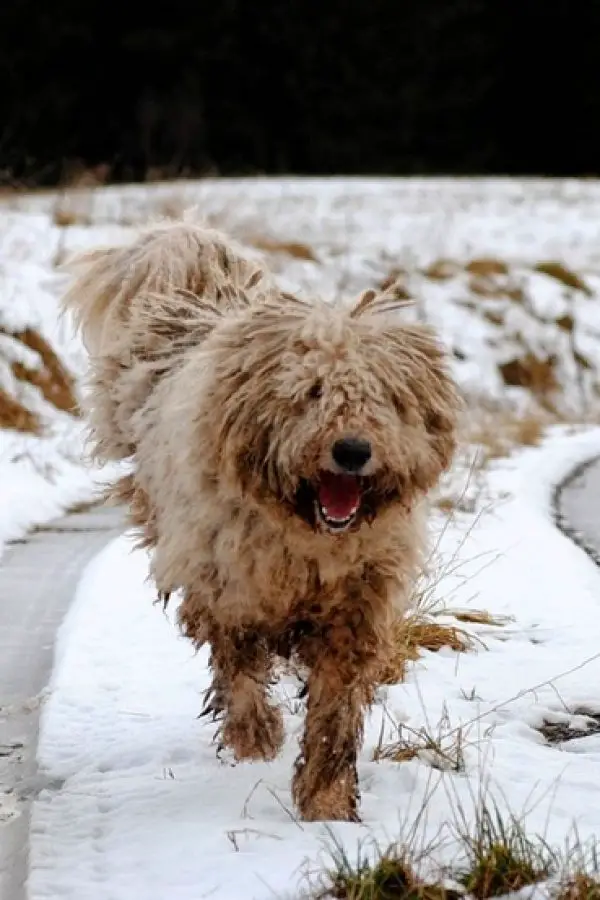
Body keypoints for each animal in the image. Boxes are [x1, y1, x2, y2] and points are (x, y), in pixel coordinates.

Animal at [64, 216, 460, 824]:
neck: (307, 536)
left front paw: (326, 801)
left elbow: (335, 708)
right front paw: (255, 738)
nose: (352, 450)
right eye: (311, 392)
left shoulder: (357, 604)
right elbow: (239, 667)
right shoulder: (226, 587)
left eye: (383, 398)